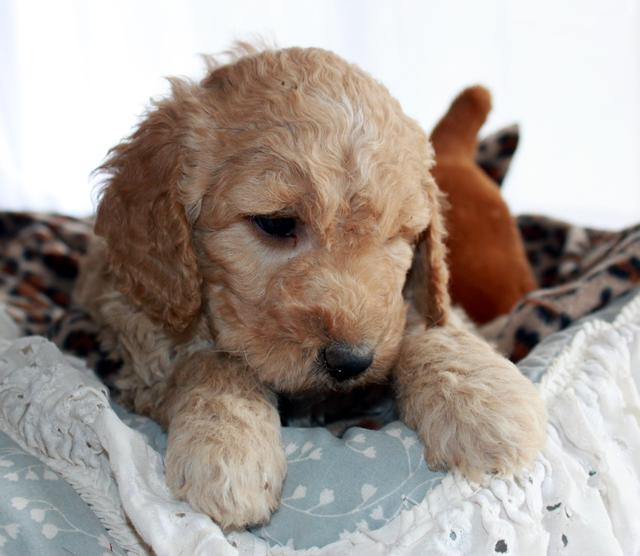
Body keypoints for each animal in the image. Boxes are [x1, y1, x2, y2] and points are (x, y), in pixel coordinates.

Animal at [76, 44, 546, 529]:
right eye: (276, 223)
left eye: (397, 236)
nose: (352, 362)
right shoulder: (142, 335)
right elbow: (212, 362)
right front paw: (227, 448)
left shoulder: (414, 302)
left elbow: (426, 327)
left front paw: (482, 404)